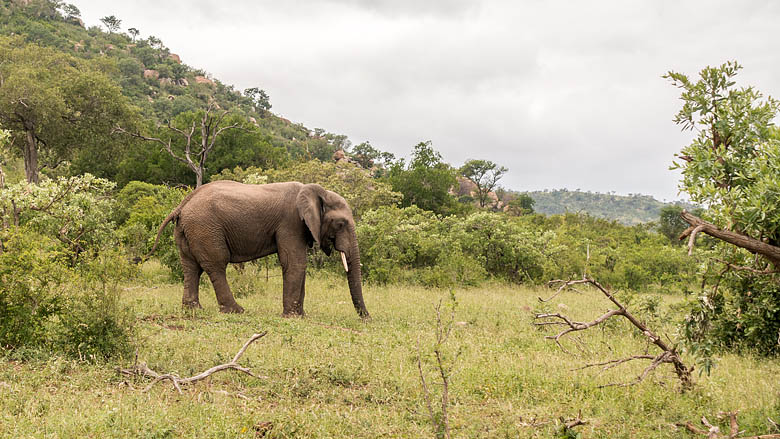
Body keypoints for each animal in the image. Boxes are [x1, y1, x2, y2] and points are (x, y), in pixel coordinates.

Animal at [148, 181, 370, 320]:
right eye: (341, 224)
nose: (367, 318)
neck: (316, 191)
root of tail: (182, 205)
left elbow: (298, 264)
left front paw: (300, 315)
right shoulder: (290, 223)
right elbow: (294, 262)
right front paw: (292, 317)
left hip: (187, 230)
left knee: (191, 267)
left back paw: (193, 309)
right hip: (205, 228)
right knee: (216, 265)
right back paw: (236, 311)